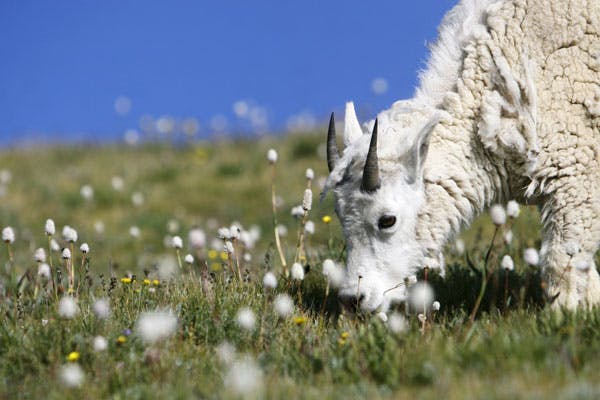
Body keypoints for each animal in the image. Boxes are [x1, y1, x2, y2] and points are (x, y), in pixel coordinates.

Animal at [326, 0, 596, 312]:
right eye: (340, 215)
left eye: (387, 220)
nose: (353, 299)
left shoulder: (575, 174)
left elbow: (563, 260)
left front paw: (568, 314)